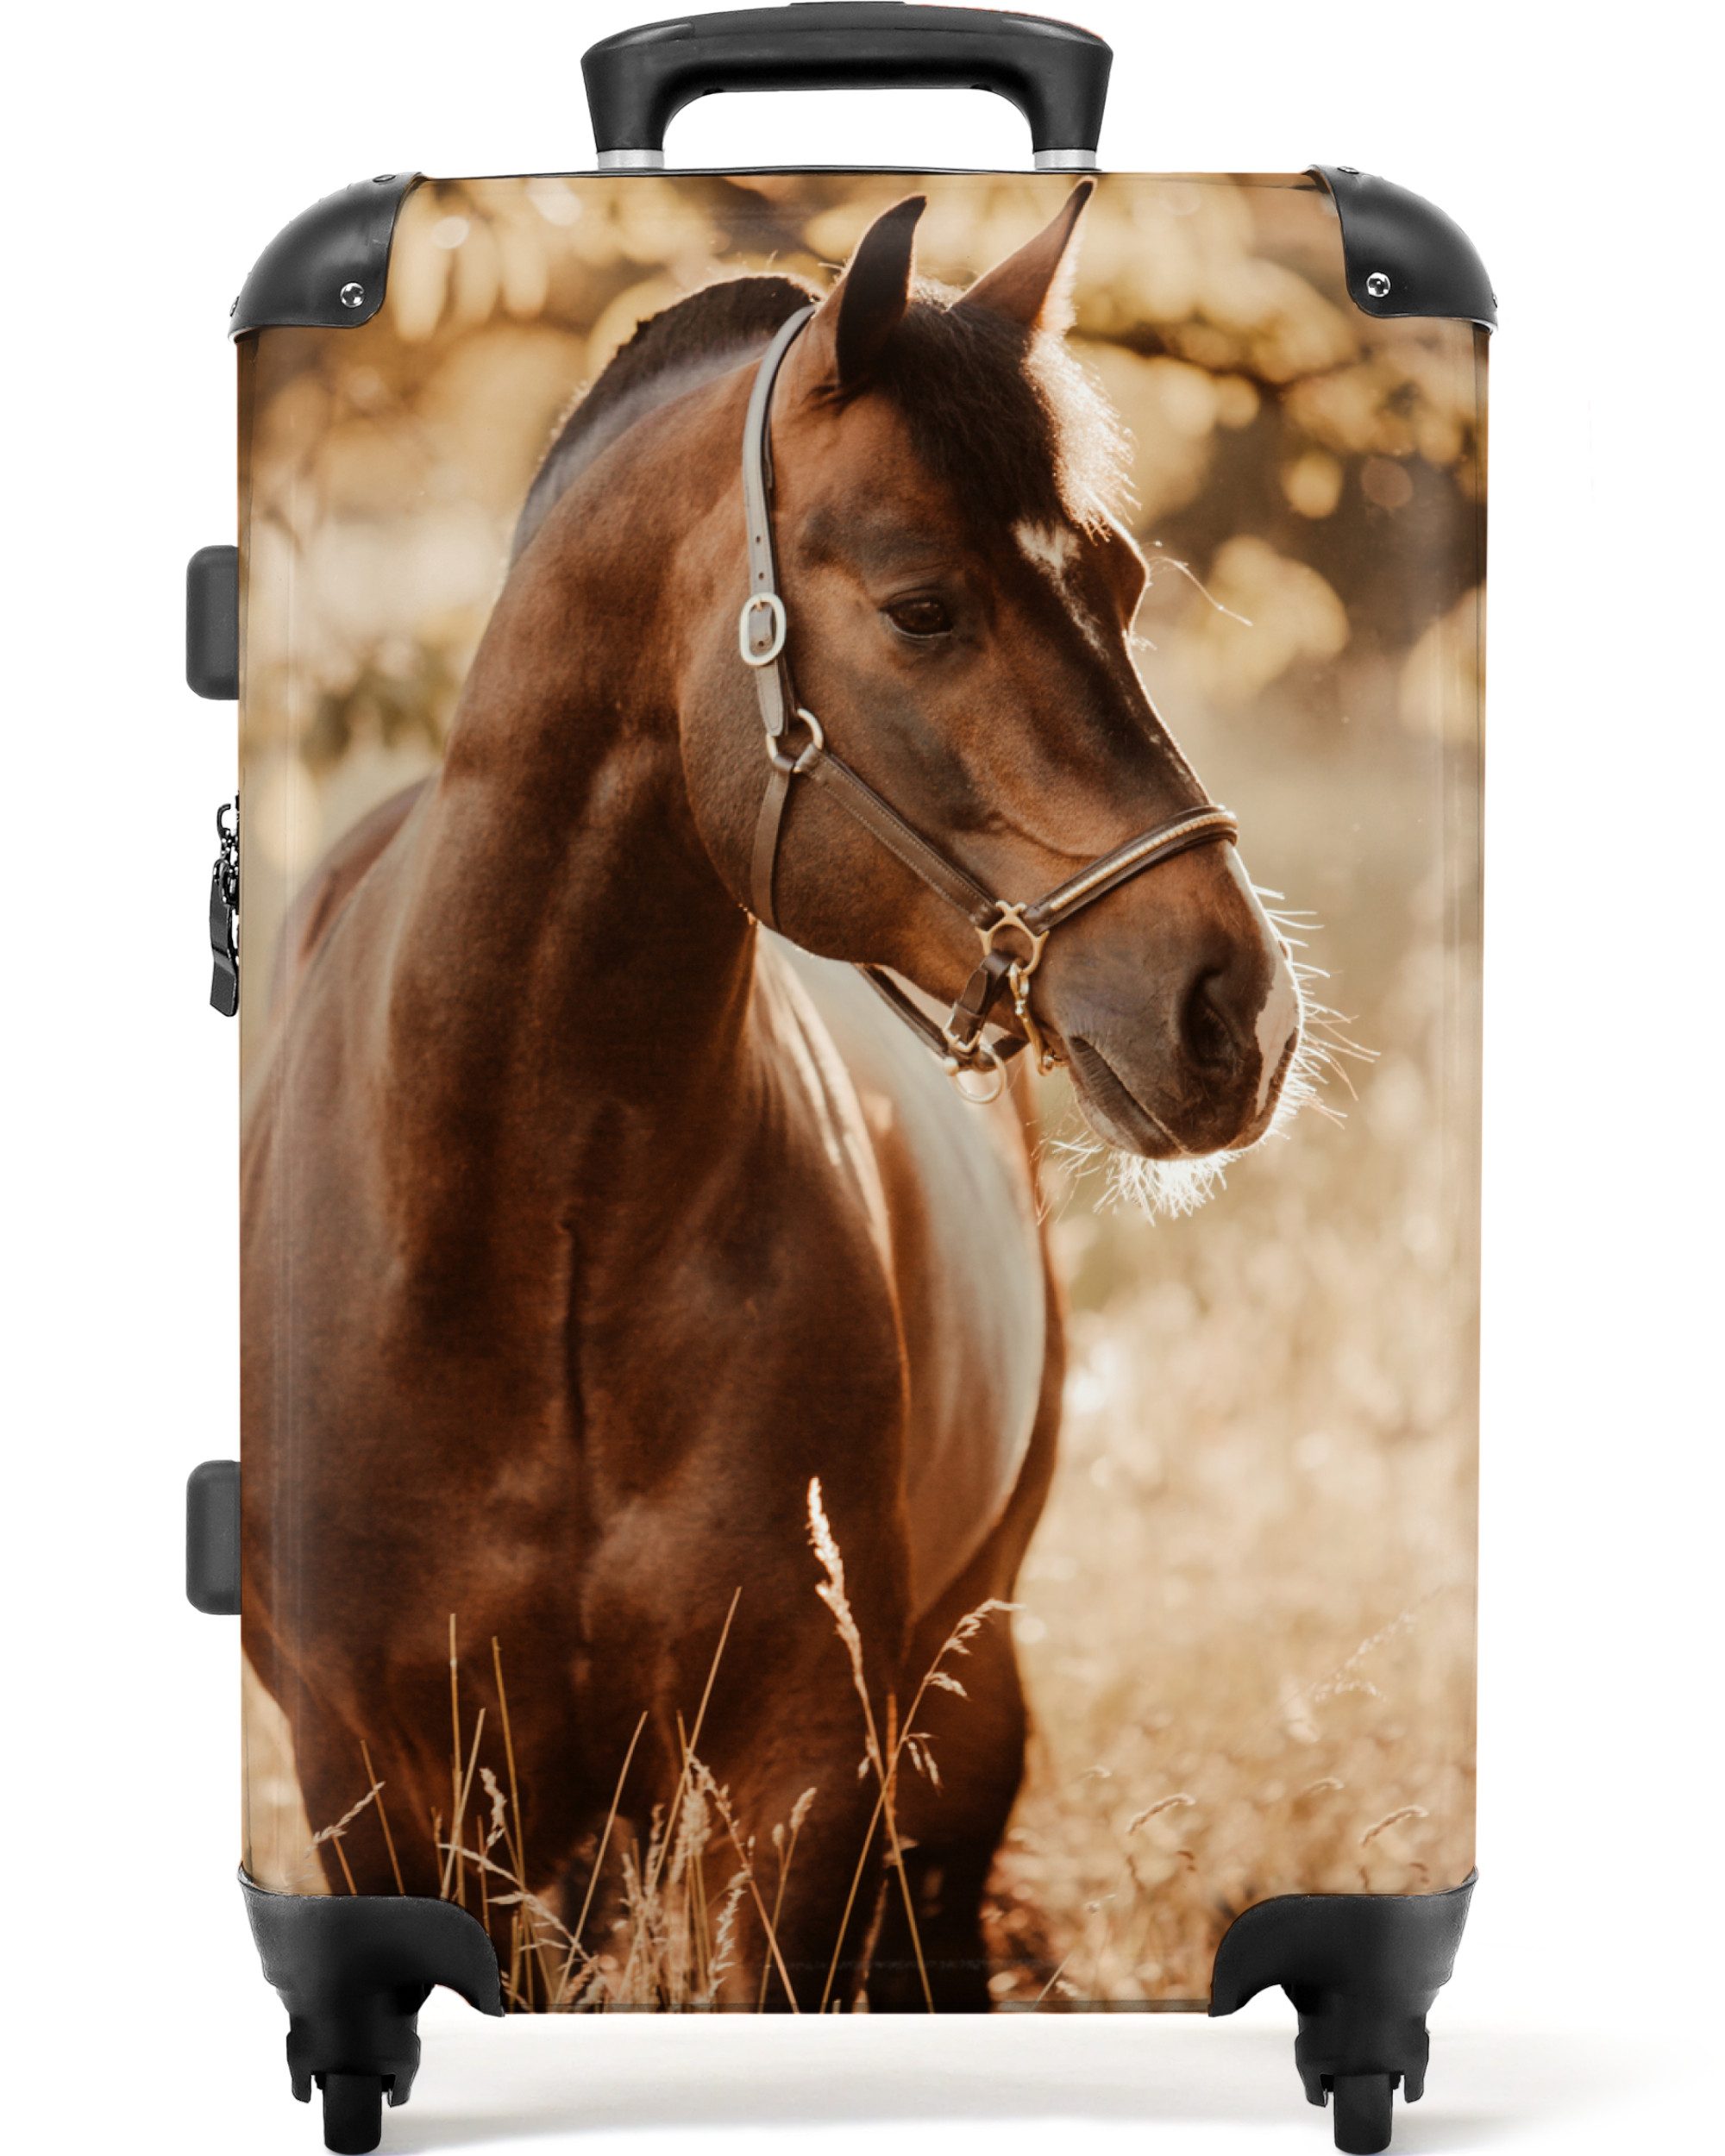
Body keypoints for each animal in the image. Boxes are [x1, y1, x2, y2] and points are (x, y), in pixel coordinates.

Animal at [240, 183, 1301, 2011]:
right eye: (925, 607)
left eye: (1120, 579)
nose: (1235, 1008)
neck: (532, 1228)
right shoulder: (376, 1781)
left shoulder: (798, 1772)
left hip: (952, 1720)